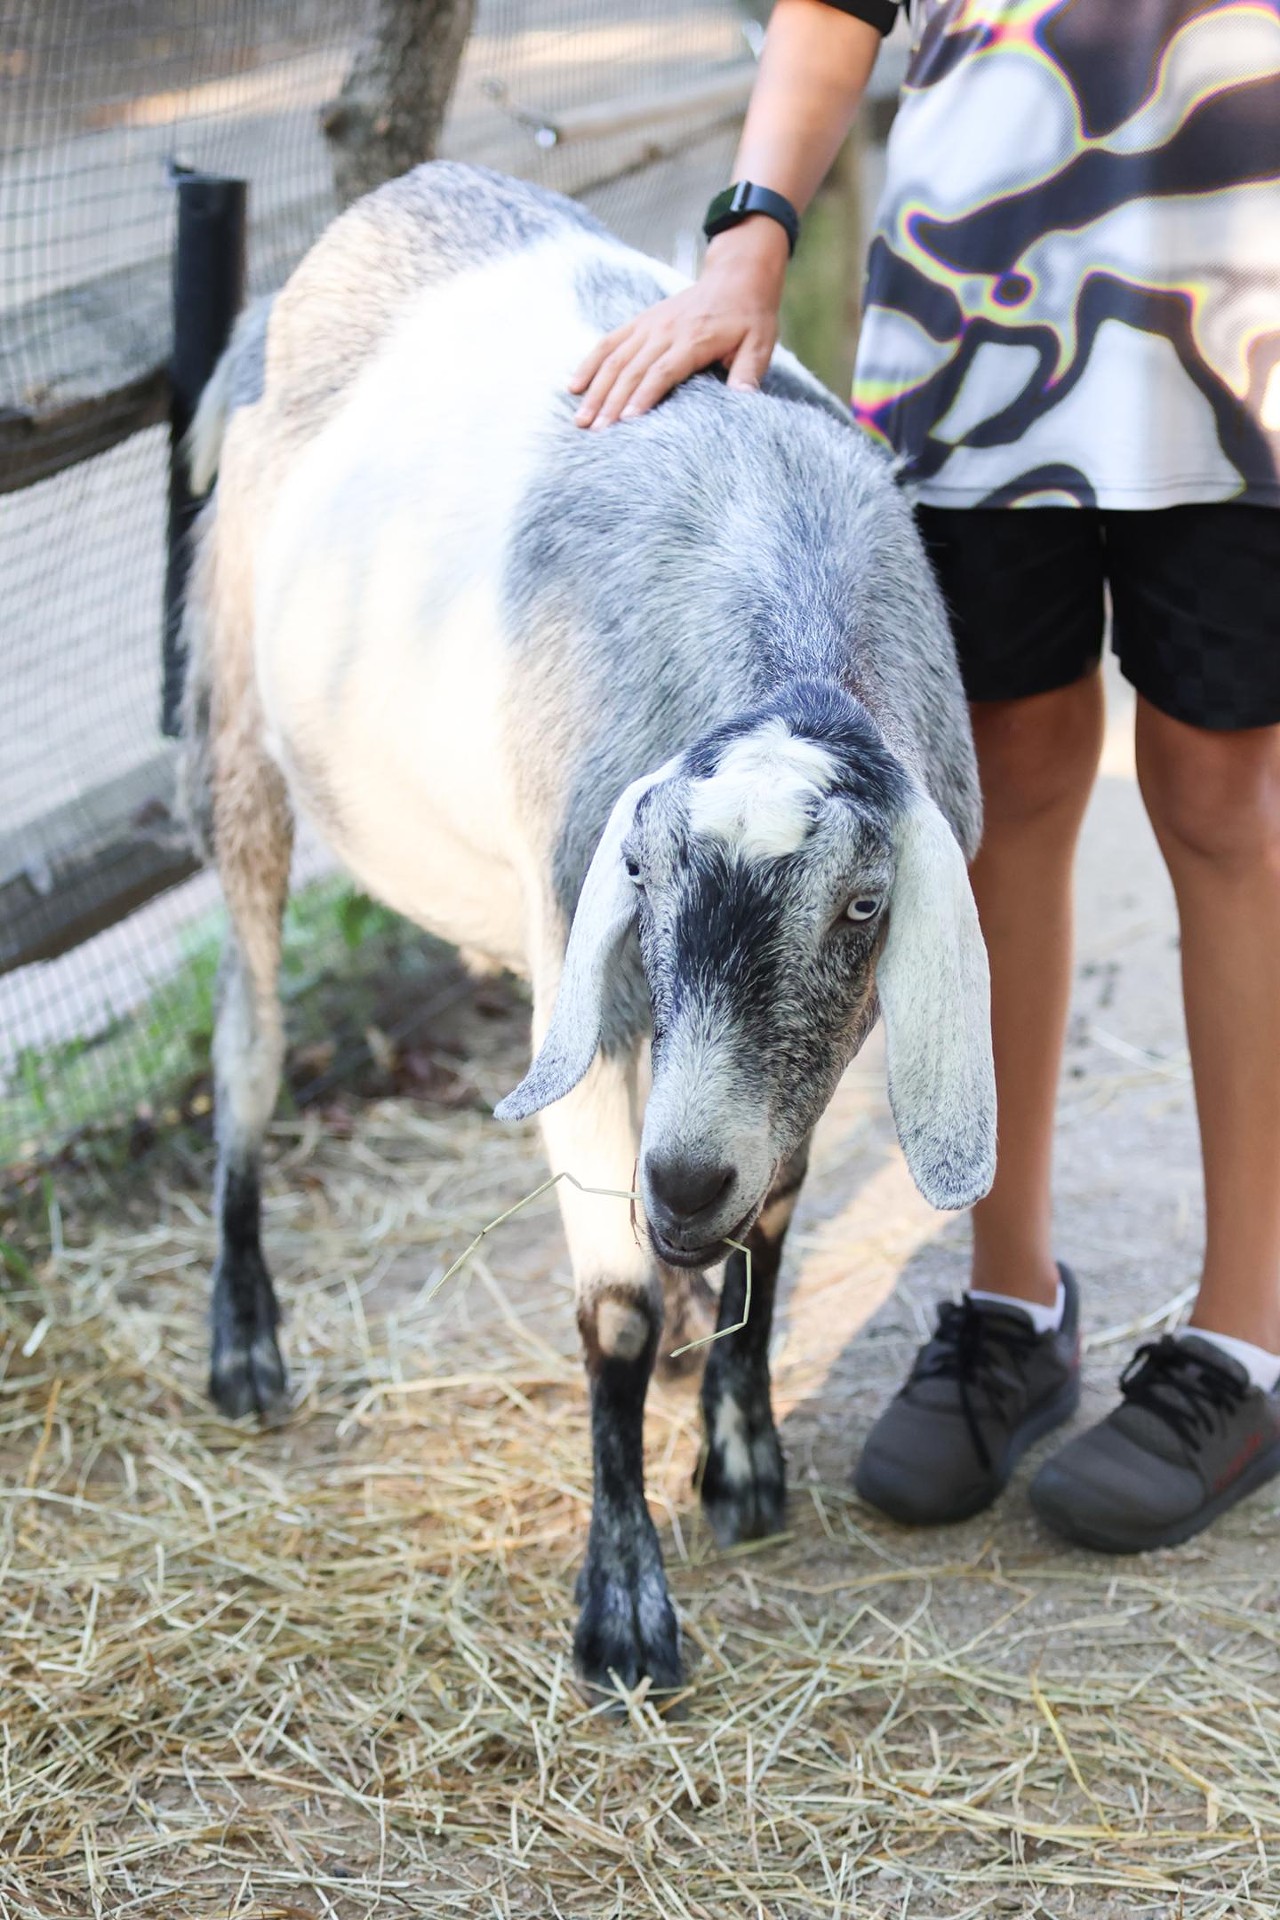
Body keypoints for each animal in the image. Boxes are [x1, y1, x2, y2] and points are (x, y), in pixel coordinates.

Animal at [182, 165, 997, 1697]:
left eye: (863, 908)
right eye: (640, 866)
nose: (682, 1179)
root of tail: (380, 205)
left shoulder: (793, 1061)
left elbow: (772, 1223)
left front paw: (740, 1456)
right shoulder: (592, 970)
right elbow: (607, 1301)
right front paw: (622, 1609)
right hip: (235, 722)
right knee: (247, 1033)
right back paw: (245, 1344)